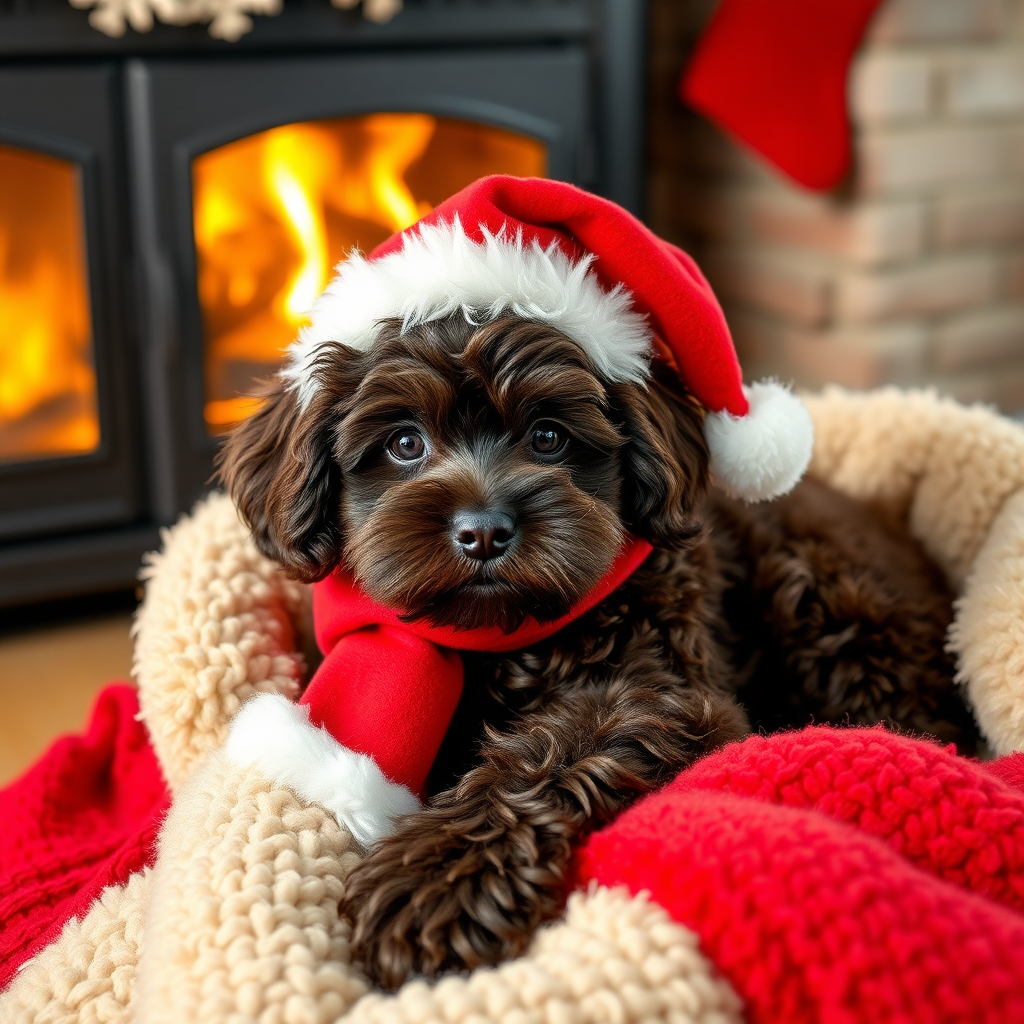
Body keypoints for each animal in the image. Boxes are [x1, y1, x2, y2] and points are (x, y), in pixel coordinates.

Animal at [216, 307, 974, 987]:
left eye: (549, 437)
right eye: (405, 444)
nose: (483, 531)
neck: (497, 637)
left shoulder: (661, 694)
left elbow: (546, 755)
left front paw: (436, 878)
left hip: (826, 600)